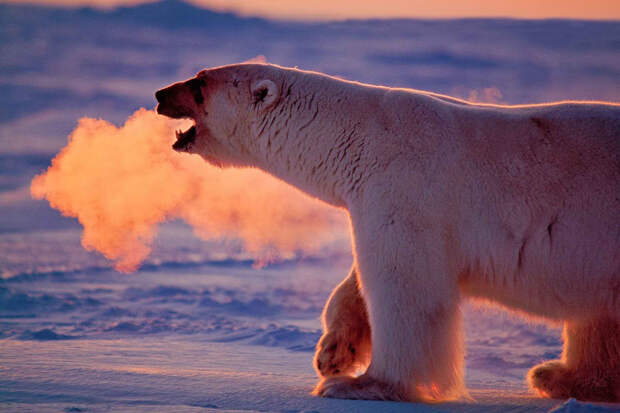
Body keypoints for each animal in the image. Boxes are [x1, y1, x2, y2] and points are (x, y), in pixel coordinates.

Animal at [156, 64, 620, 402]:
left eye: (199, 86)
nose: (160, 95)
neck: (360, 135)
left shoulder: (406, 187)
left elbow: (404, 287)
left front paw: (363, 385)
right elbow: (357, 280)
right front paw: (333, 353)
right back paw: (562, 376)